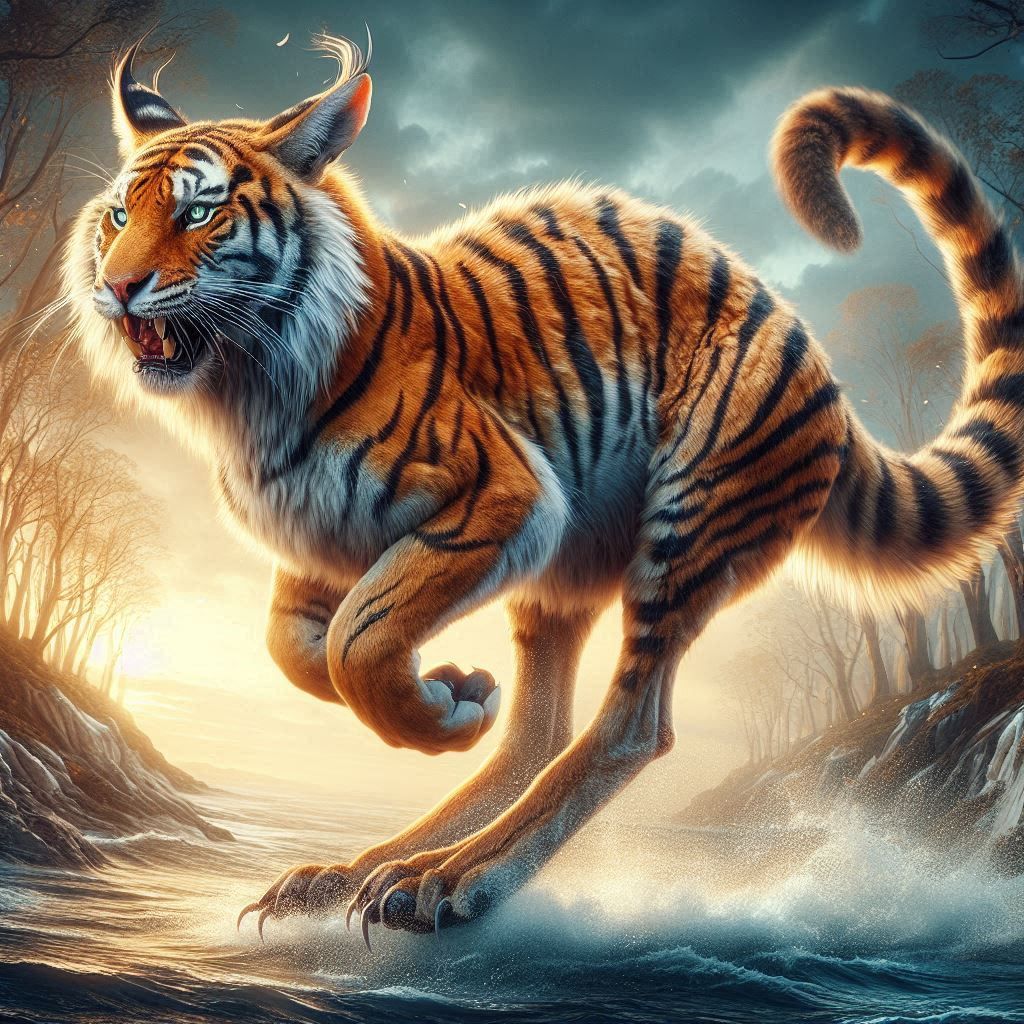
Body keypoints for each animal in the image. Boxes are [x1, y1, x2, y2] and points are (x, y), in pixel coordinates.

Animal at [66, 32, 1024, 945]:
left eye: (198, 210)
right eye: (118, 213)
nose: (117, 287)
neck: (248, 389)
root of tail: (810, 349)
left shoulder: (502, 498)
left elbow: (358, 641)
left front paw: (436, 713)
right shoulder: (320, 538)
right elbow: (296, 648)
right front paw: (455, 693)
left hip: (687, 523)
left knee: (629, 728)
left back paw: (452, 880)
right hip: (566, 577)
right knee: (540, 731)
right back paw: (359, 872)